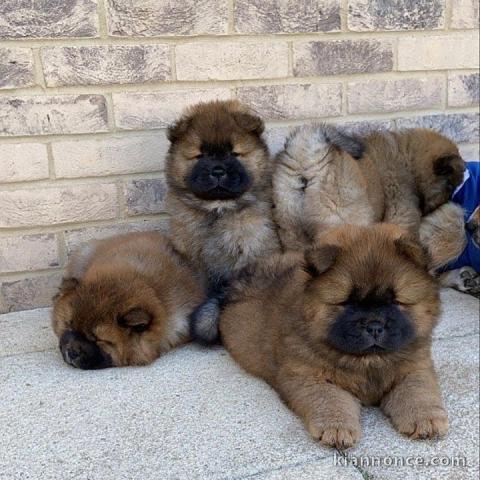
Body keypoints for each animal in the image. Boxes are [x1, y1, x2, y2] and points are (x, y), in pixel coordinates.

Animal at [165, 99, 280, 344]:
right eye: (200, 156)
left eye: (234, 154)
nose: (218, 170)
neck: (219, 210)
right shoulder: (194, 260)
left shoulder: (253, 250)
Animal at [220, 225, 446, 450]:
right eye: (348, 302)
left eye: (395, 301)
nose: (374, 326)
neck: (368, 362)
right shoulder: (308, 375)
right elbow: (331, 401)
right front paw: (337, 429)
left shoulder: (415, 368)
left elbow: (418, 393)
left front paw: (426, 420)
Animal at [274, 124, 464, 251]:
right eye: (449, 187)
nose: (450, 200)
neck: (408, 160)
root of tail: (308, 151)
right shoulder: (400, 215)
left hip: (291, 231)